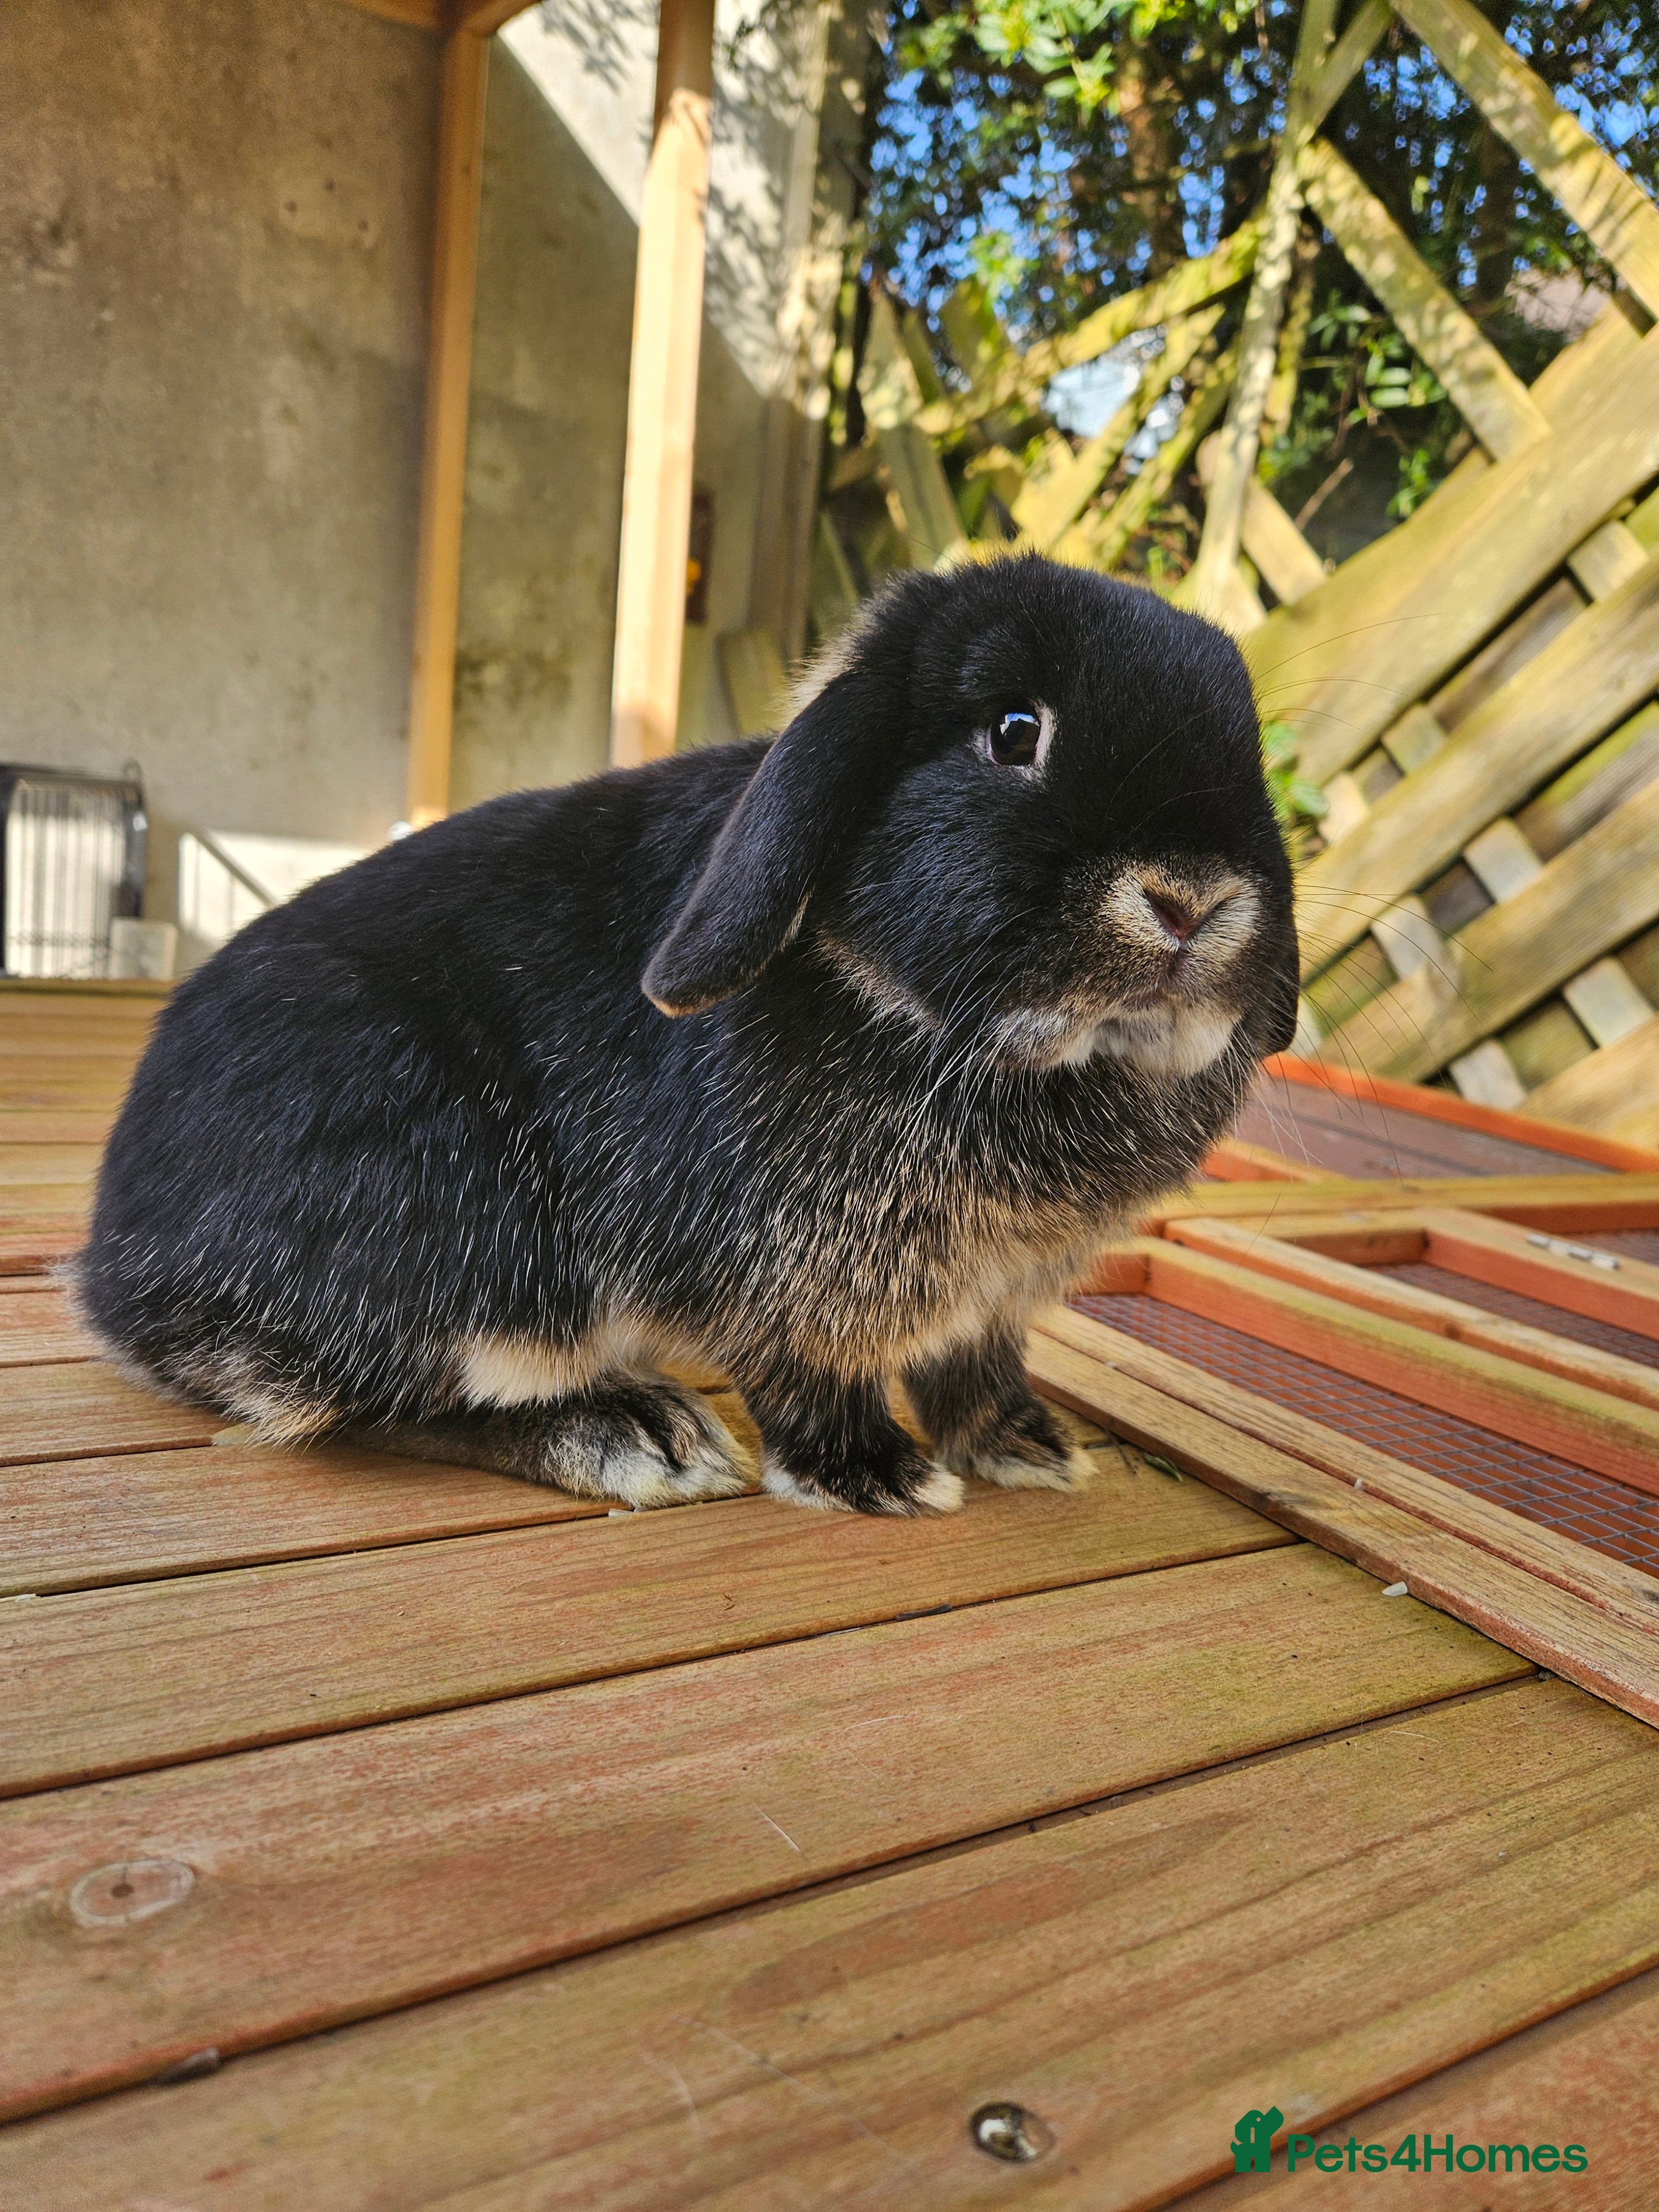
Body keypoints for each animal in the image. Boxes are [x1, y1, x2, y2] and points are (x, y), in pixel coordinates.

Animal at [74, 553, 1298, 1516]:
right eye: (1013, 732)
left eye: (1250, 754)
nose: (1192, 899)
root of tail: (114, 1269)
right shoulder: (782, 1274)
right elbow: (808, 1369)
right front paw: (876, 1474)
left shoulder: (989, 1299)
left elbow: (977, 1366)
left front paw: (1028, 1446)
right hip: (459, 1226)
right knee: (370, 1403)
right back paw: (635, 1433)